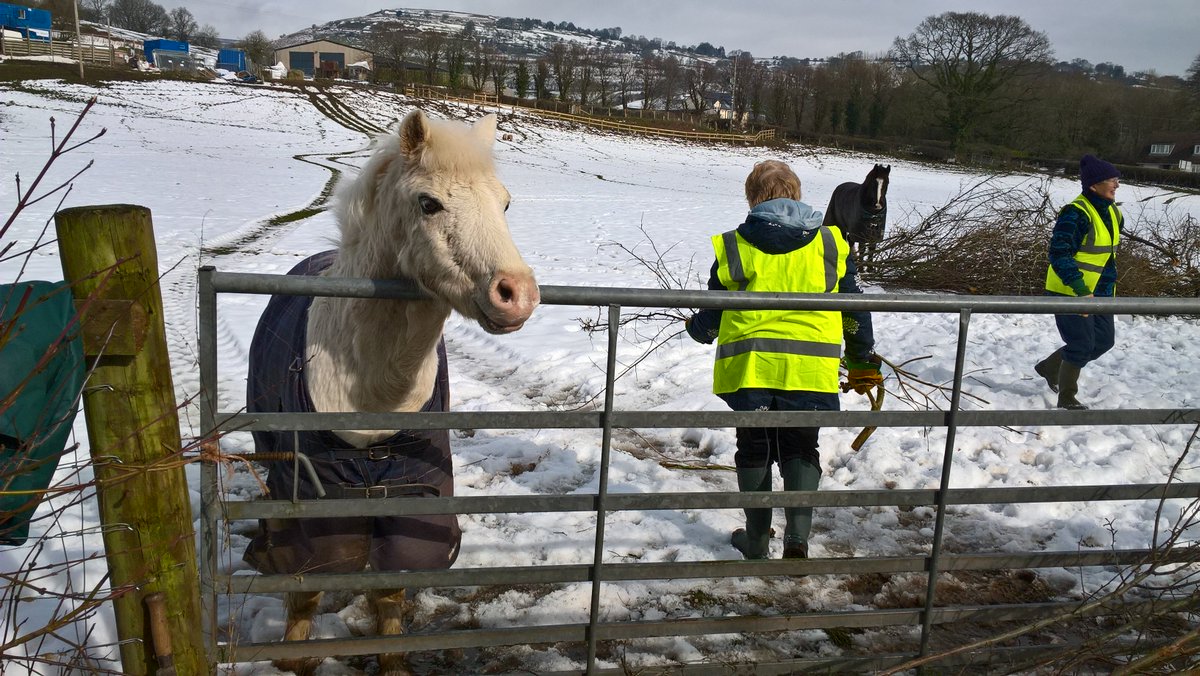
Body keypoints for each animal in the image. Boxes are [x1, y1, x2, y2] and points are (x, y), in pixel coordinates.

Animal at [242, 110, 539, 675]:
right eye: (429, 203)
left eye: (507, 203)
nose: (517, 295)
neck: (372, 390)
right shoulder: (313, 508)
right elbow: (306, 589)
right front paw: (294, 659)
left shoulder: (413, 497)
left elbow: (389, 591)